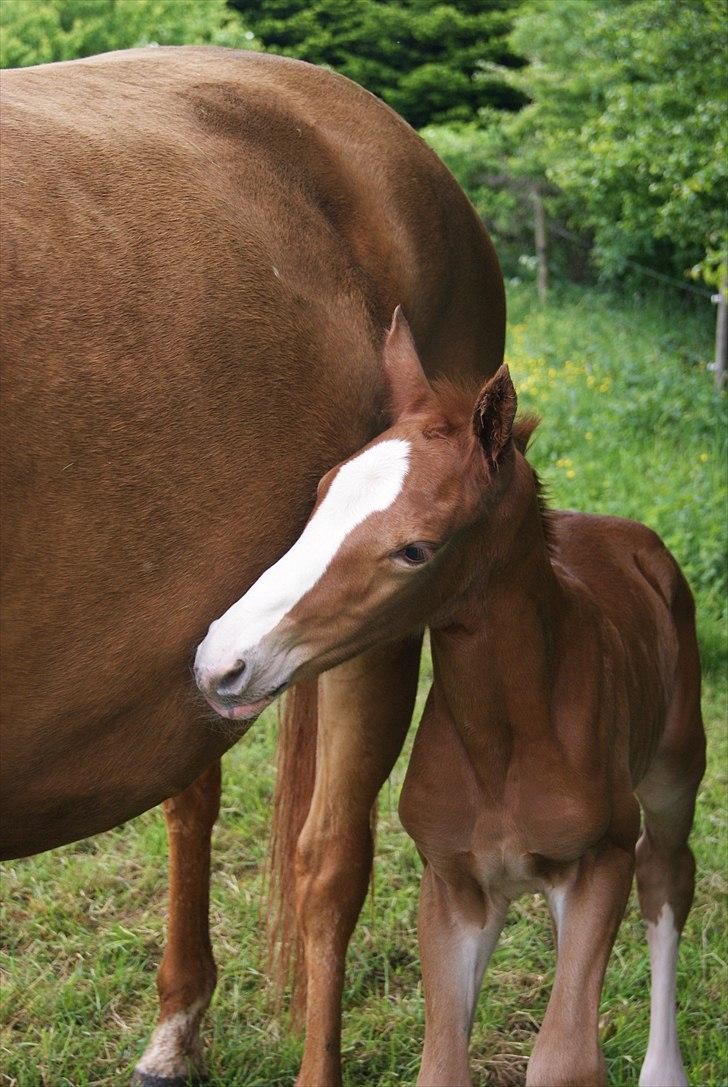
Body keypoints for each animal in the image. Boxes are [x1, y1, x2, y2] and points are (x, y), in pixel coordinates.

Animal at [195, 310, 708, 1082]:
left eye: (416, 550)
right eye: (320, 495)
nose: (220, 662)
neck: (506, 745)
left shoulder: (599, 863)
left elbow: (564, 1058)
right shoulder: (452, 886)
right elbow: (442, 1062)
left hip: (676, 771)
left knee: (667, 874)